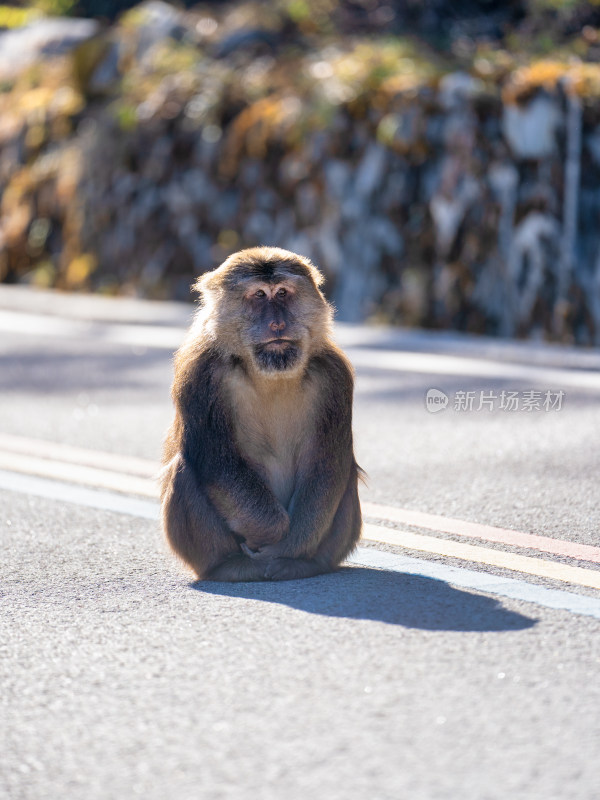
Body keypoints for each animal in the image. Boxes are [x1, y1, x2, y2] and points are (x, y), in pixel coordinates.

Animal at [159, 245, 364, 580]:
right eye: (258, 295)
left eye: (282, 293)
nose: (277, 324)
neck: (270, 374)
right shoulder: (201, 375)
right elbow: (219, 463)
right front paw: (272, 534)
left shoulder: (334, 376)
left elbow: (326, 467)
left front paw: (289, 548)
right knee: (185, 469)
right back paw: (229, 565)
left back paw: (304, 564)